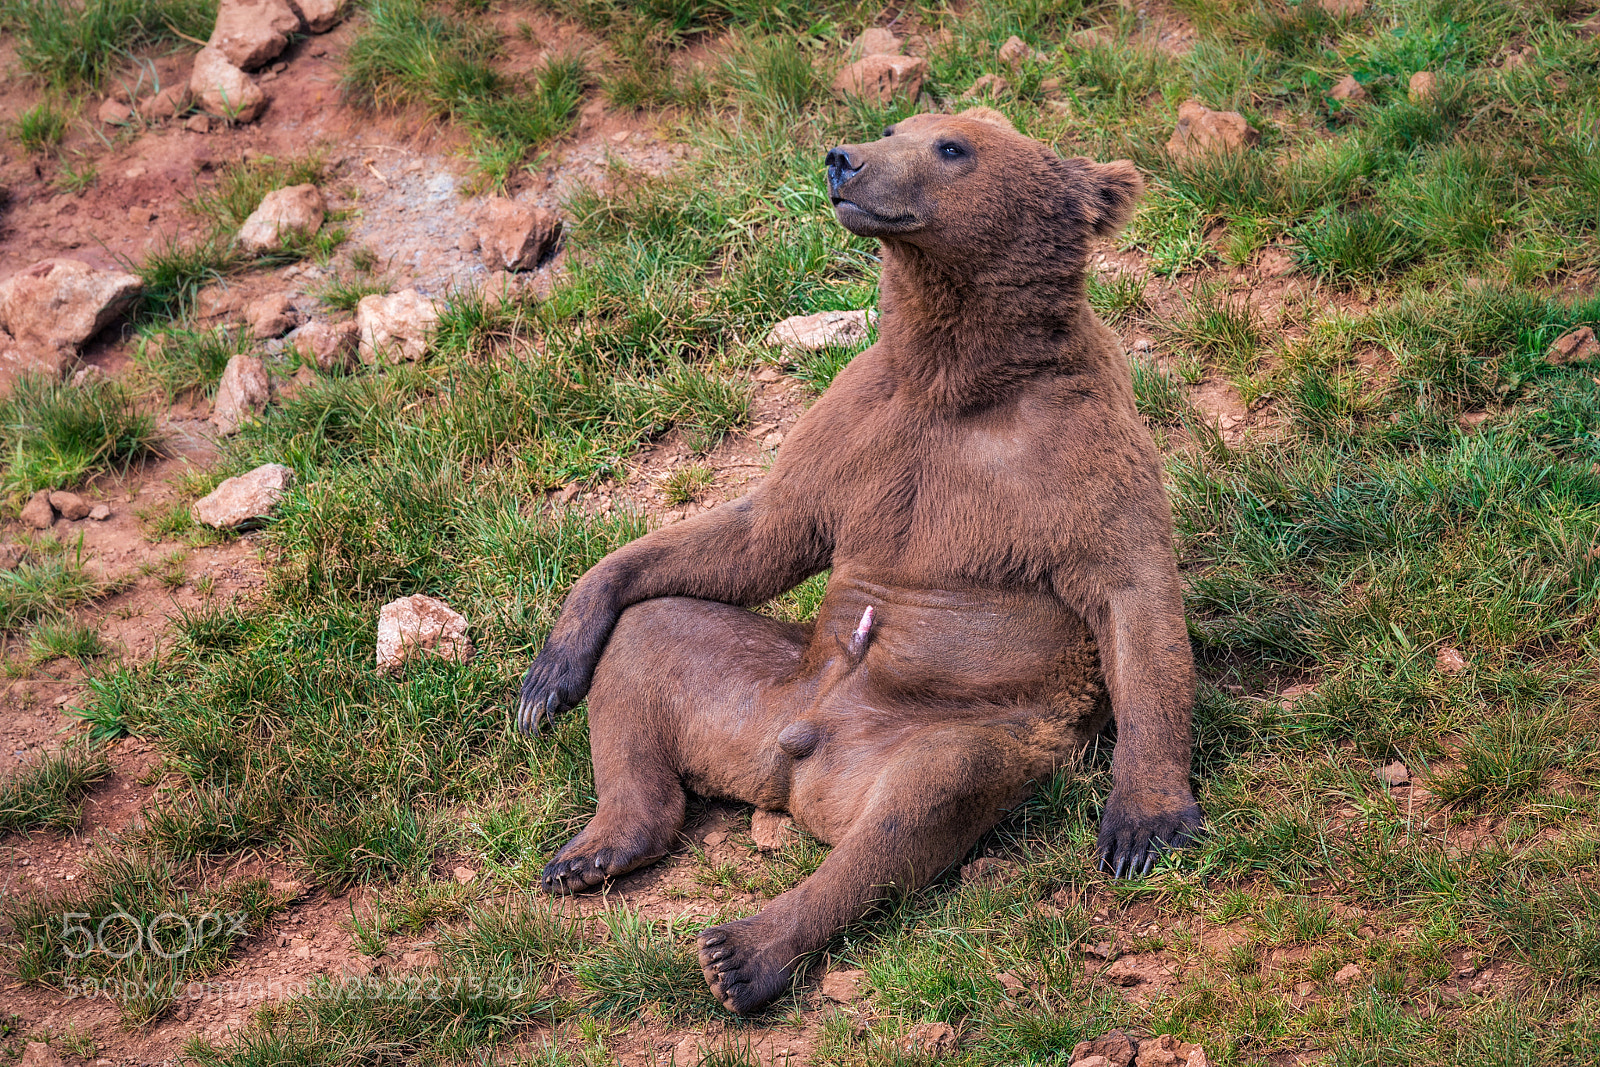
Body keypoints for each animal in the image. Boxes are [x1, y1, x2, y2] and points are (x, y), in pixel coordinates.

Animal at [515, 108, 1202, 1015]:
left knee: (925, 794)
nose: (843, 160)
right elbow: (760, 531)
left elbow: (1134, 596)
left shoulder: (1071, 448)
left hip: (961, 731)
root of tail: (794, 764)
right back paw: (594, 847)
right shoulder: (859, 419)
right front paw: (548, 671)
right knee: (657, 639)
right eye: (898, 125)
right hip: (755, 689)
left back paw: (741, 950)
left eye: (953, 146)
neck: (958, 380)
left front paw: (1145, 824)